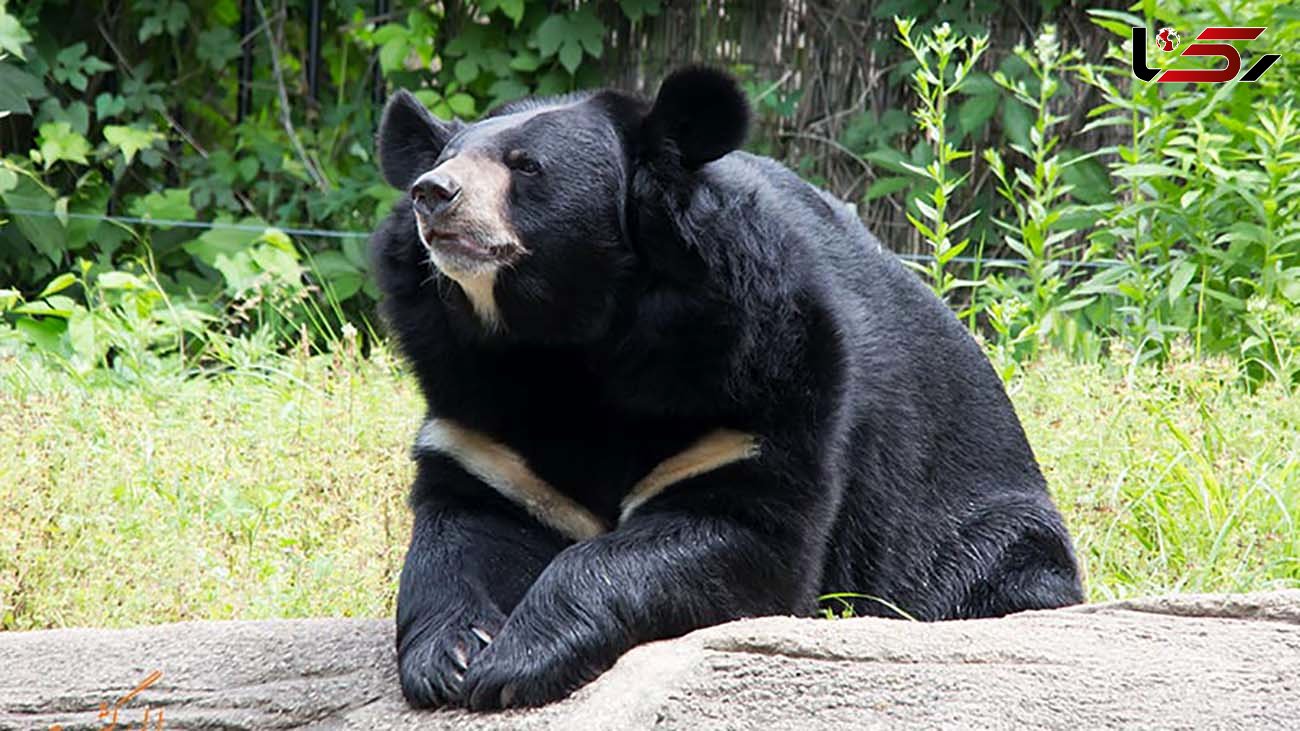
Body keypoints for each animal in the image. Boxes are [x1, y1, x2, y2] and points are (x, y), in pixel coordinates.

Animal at [371, 66, 1081, 707]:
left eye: (527, 166)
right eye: (448, 160)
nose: (433, 192)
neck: (564, 337)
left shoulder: (759, 389)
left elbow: (741, 534)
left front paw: (517, 662)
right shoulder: (481, 427)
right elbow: (460, 534)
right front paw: (453, 657)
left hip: (978, 527)